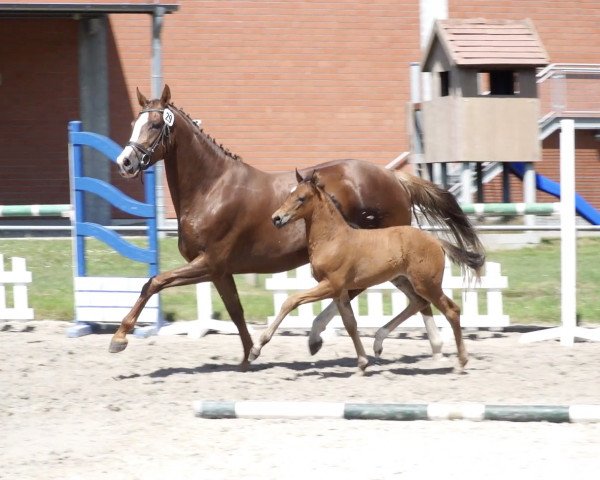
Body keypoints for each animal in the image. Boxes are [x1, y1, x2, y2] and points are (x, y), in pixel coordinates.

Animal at [250, 172, 488, 376]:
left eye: (301, 198)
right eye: (289, 194)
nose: (276, 218)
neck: (333, 239)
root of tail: (436, 240)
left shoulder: (331, 285)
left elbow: (290, 301)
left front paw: (256, 348)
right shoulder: (340, 291)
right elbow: (350, 324)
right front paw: (362, 364)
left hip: (426, 284)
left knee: (451, 310)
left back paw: (461, 362)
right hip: (402, 280)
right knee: (418, 303)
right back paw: (378, 342)